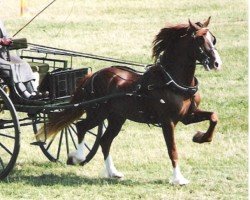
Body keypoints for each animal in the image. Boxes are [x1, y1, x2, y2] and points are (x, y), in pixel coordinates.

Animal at [36, 17, 222, 184]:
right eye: (199, 39)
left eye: (213, 38)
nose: (217, 63)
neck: (171, 81)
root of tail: (92, 75)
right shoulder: (167, 121)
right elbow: (173, 150)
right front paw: (178, 179)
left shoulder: (187, 117)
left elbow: (213, 116)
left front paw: (201, 137)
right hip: (97, 113)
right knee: (81, 127)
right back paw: (77, 157)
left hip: (117, 118)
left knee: (104, 141)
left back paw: (112, 172)